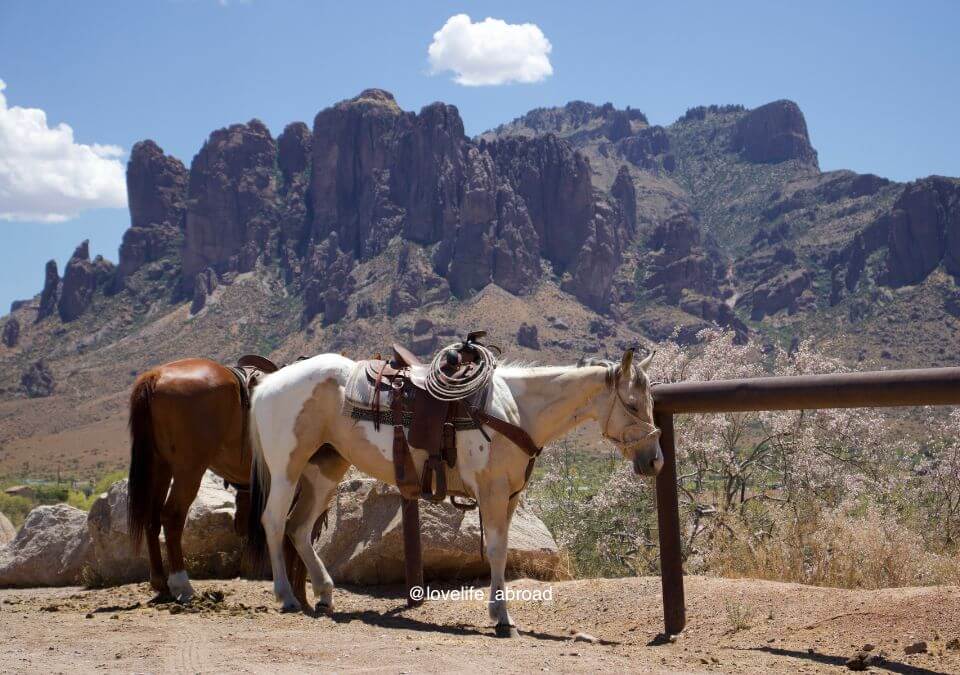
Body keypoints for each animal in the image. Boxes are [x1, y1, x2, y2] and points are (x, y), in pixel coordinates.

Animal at [124, 360, 304, 604]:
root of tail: (155, 376)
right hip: (189, 470)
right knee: (171, 516)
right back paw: (182, 585)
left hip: (160, 466)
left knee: (152, 519)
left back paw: (161, 584)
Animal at [248, 348, 664, 632]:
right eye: (632, 404)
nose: (655, 461)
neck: (515, 411)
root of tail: (268, 383)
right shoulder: (493, 493)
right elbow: (496, 551)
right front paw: (501, 618)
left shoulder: (509, 497)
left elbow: (501, 550)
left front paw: (500, 612)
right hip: (286, 470)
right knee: (274, 522)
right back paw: (287, 596)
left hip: (324, 471)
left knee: (299, 527)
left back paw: (323, 594)